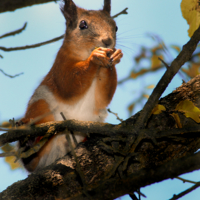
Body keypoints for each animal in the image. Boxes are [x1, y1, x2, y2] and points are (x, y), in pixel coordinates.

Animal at [17, 0, 123, 172]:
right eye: (83, 25)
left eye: (116, 26)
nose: (107, 41)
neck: (84, 54)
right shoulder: (60, 67)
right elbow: (69, 85)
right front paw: (94, 57)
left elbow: (104, 96)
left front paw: (116, 54)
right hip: (41, 108)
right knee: (32, 157)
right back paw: (30, 142)